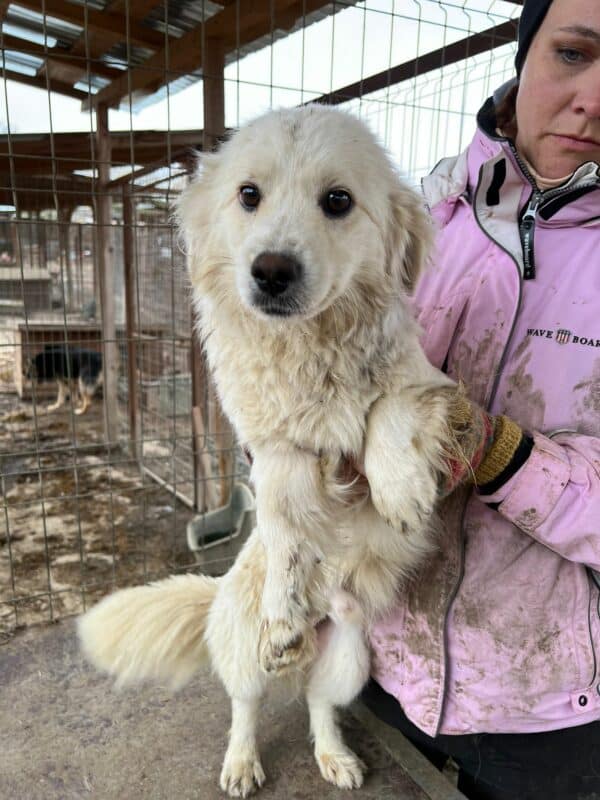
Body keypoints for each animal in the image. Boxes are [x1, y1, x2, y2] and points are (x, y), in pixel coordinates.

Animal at [78, 104, 460, 792]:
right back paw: (244, 751)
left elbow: (387, 407)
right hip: (244, 654)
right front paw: (286, 597)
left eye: (338, 201)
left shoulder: (432, 383)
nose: (272, 271)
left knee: (317, 704)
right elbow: (285, 528)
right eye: (248, 195)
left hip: (350, 656)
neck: (310, 348)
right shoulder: (275, 450)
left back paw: (335, 757)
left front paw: (401, 489)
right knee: (246, 707)